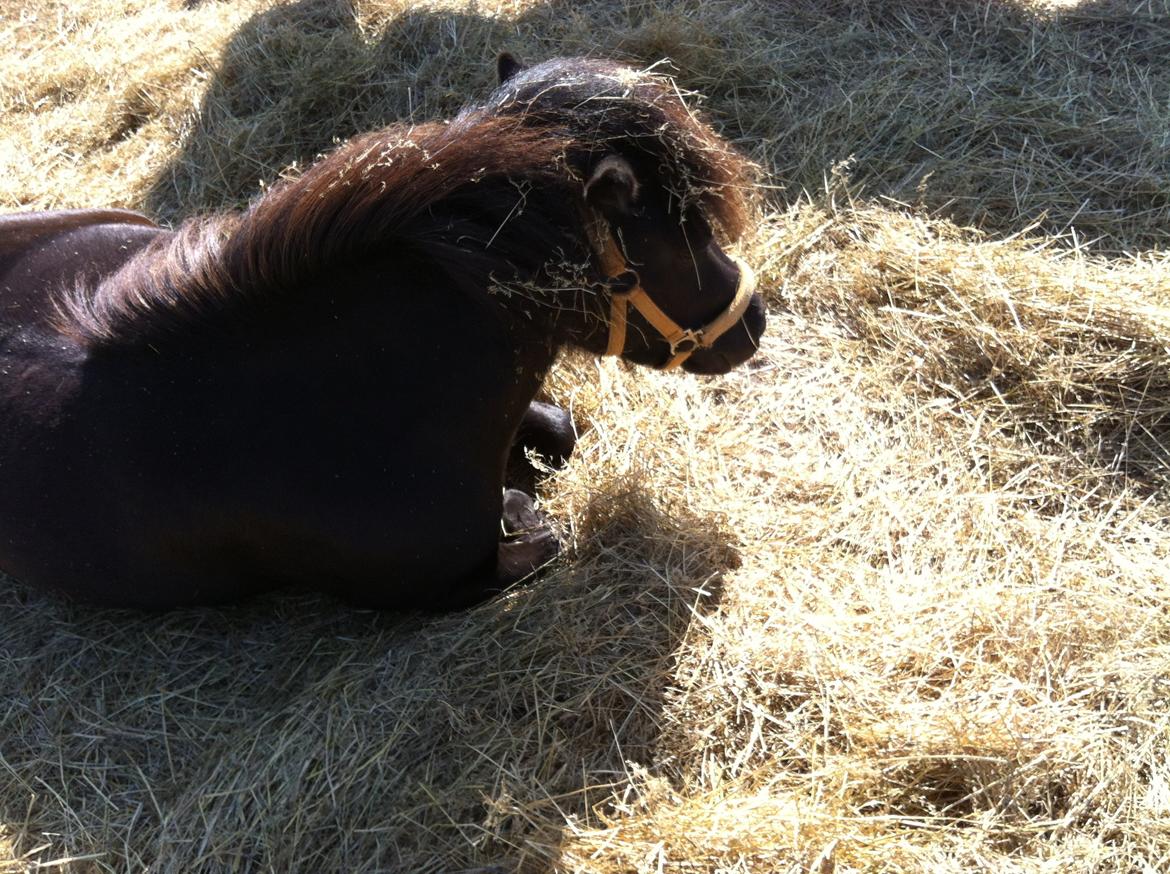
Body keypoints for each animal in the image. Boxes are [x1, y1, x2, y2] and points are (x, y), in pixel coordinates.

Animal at [0, 54, 767, 608]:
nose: (753, 322)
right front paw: (519, 500)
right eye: (675, 241)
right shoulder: (448, 580)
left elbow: (559, 431)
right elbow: (536, 533)